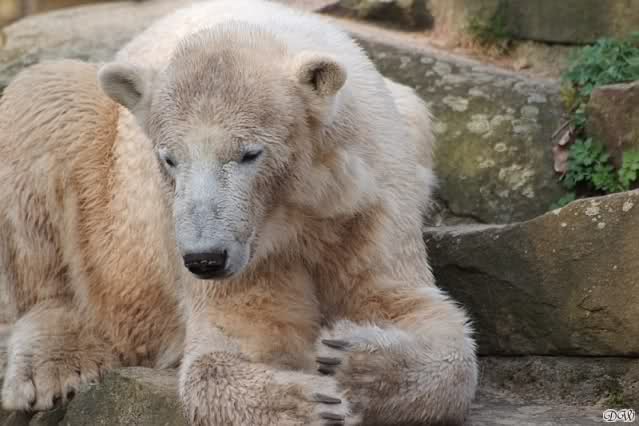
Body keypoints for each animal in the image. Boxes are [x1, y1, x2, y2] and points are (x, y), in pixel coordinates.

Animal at [0, 0, 478, 425]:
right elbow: (232, 341)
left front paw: (352, 360)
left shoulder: (368, 202)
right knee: (44, 97)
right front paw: (313, 403)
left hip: (411, 114)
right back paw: (52, 365)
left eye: (250, 154)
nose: (205, 260)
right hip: (109, 221)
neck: (296, 209)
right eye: (169, 159)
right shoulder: (246, 247)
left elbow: (412, 308)